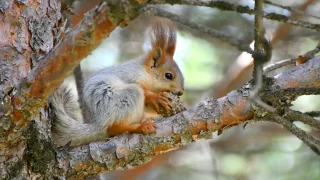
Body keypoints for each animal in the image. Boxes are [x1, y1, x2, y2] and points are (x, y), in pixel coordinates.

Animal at [50, 17, 185, 148]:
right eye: (168, 75)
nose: (181, 92)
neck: (145, 72)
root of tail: (98, 123)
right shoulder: (129, 75)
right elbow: (142, 88)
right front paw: (155, 97)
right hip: (121, 99)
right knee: (114, 127)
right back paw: (140, 127)